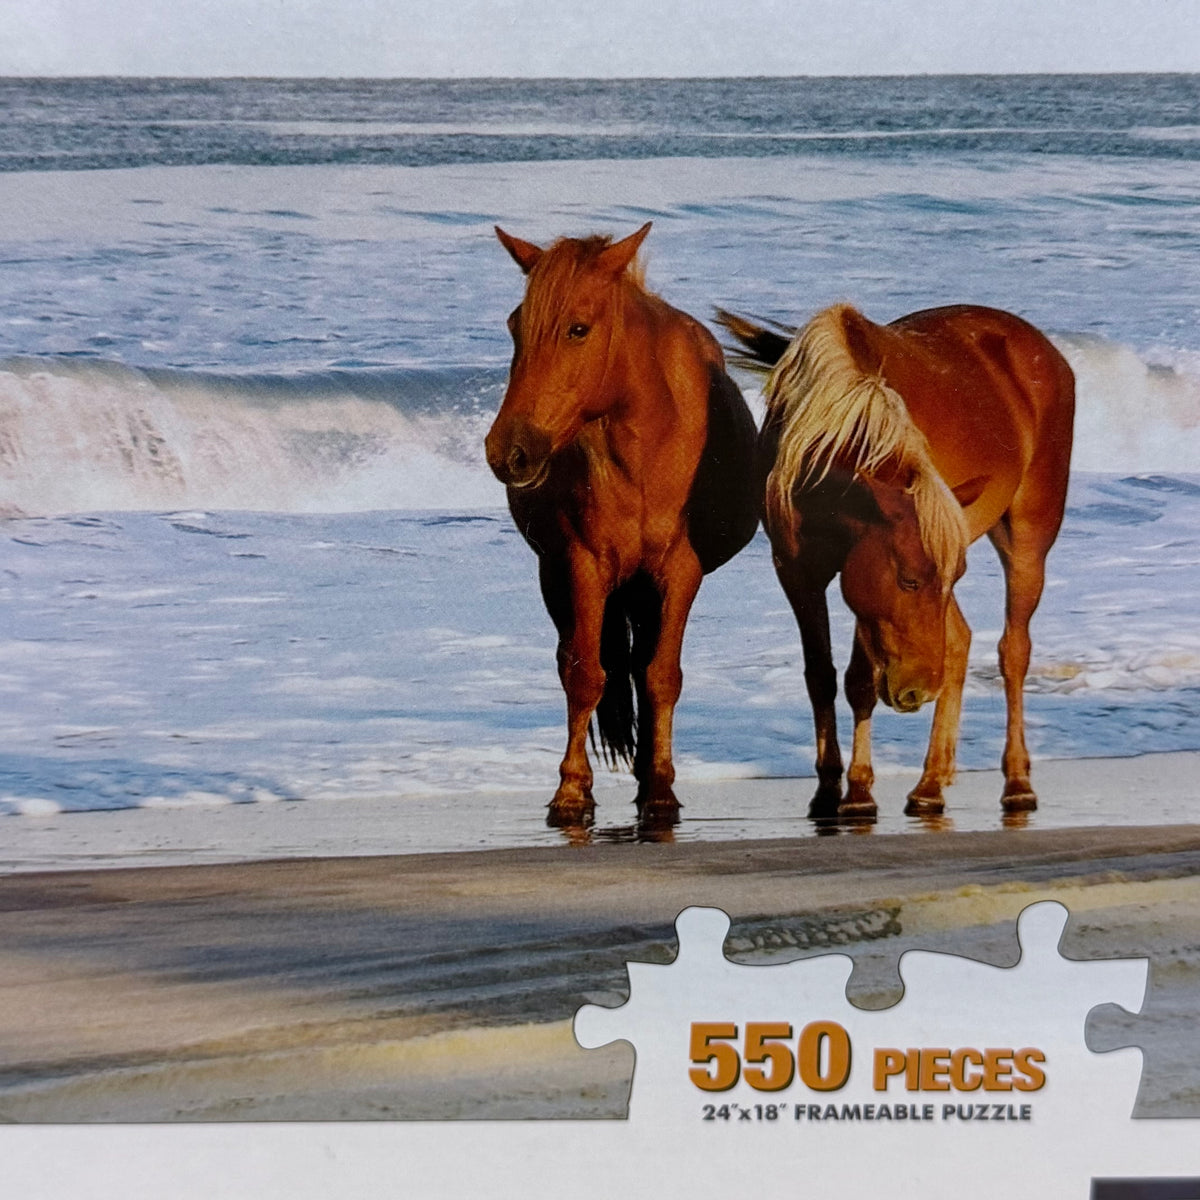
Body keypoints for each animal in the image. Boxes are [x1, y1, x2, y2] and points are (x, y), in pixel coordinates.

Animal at [485, 223, 759, 828]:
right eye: (514, 325)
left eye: (577, 328)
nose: (508, 452)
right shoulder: (581, 564)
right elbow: (585, 674)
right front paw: (571, 790)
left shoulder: (681, 571)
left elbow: (661, 677)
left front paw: (660, 788)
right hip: (564, 578)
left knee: (640, 667)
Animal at [718, 302, 1074, 819]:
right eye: (908, 581)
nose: (917, 692)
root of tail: (1041, 349)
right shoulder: (797, 570)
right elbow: (821, 675)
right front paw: (829, 788)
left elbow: (860, 681)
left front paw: (859, 790)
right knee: (959, 643)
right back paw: (930, 784)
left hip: (1026, 538)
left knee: (1013, 651)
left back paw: (1017, 782)